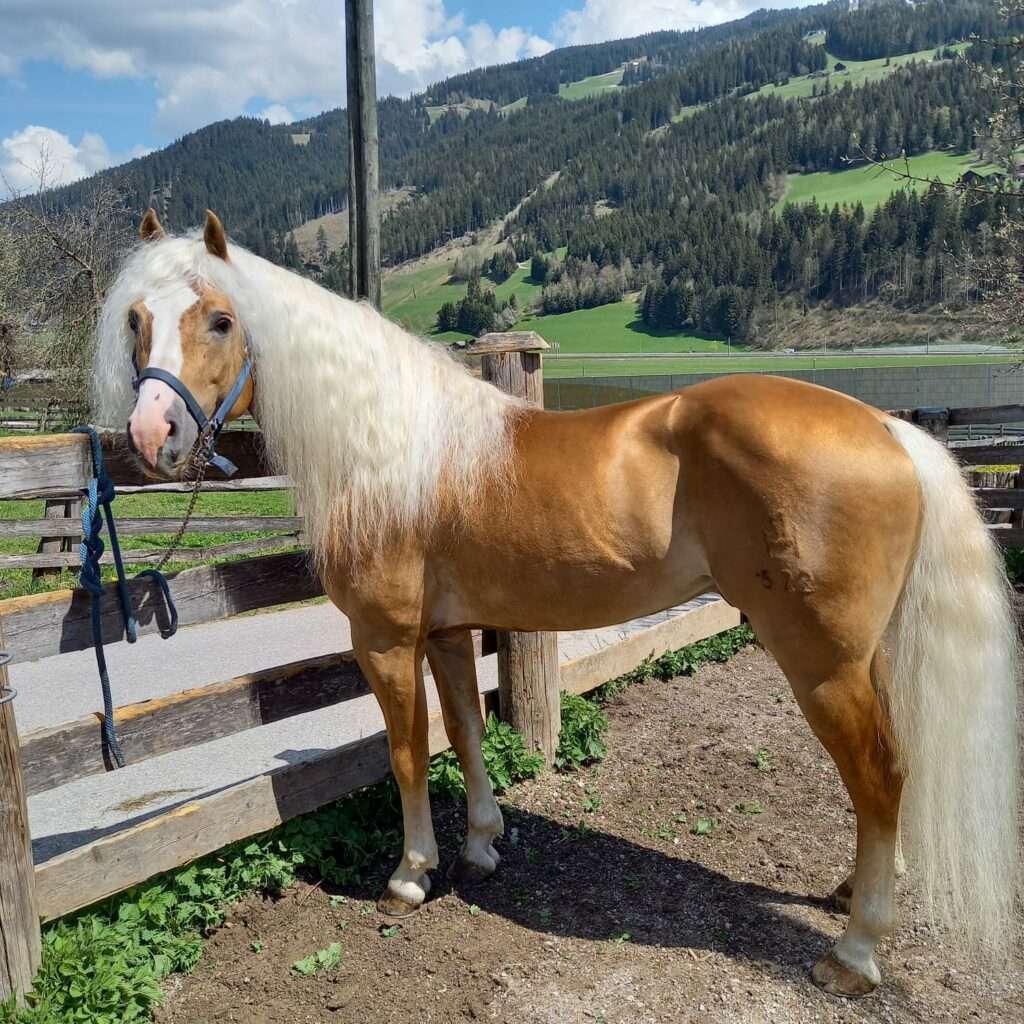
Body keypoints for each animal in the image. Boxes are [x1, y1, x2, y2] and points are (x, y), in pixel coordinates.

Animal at [92, 209, 1019, 999]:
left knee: (880, 776)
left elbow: (406, 751)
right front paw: (481, 845)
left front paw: (410, 875)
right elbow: (466, 733)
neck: (395, 453)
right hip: (866, 656)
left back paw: (854, 955)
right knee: (891, 769)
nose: (151, 437)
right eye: (136, 318)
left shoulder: (384, 639)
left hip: (821, 663)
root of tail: (888, 428)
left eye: (220, 319)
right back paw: (857, 892)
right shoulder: (448, 633)